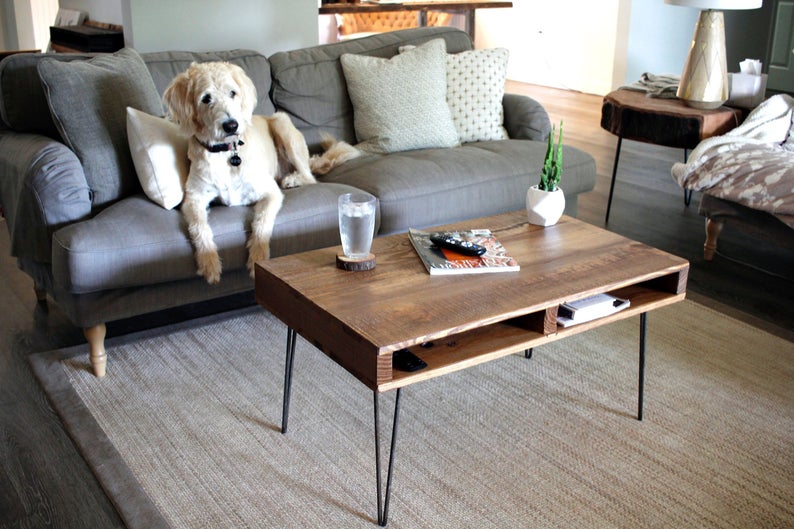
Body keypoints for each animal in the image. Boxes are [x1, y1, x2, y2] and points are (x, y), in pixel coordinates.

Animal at [164, 60, 356, 284]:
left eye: (232, 93)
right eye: (206, 98)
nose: (231, 125)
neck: (226, 153)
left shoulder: (271, 192)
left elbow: (262, 222)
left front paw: (258, 259)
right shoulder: (194, 198)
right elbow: (198, 226)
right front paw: (209, 263)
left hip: (282, 124)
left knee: (310, 177)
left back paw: (292, 179)